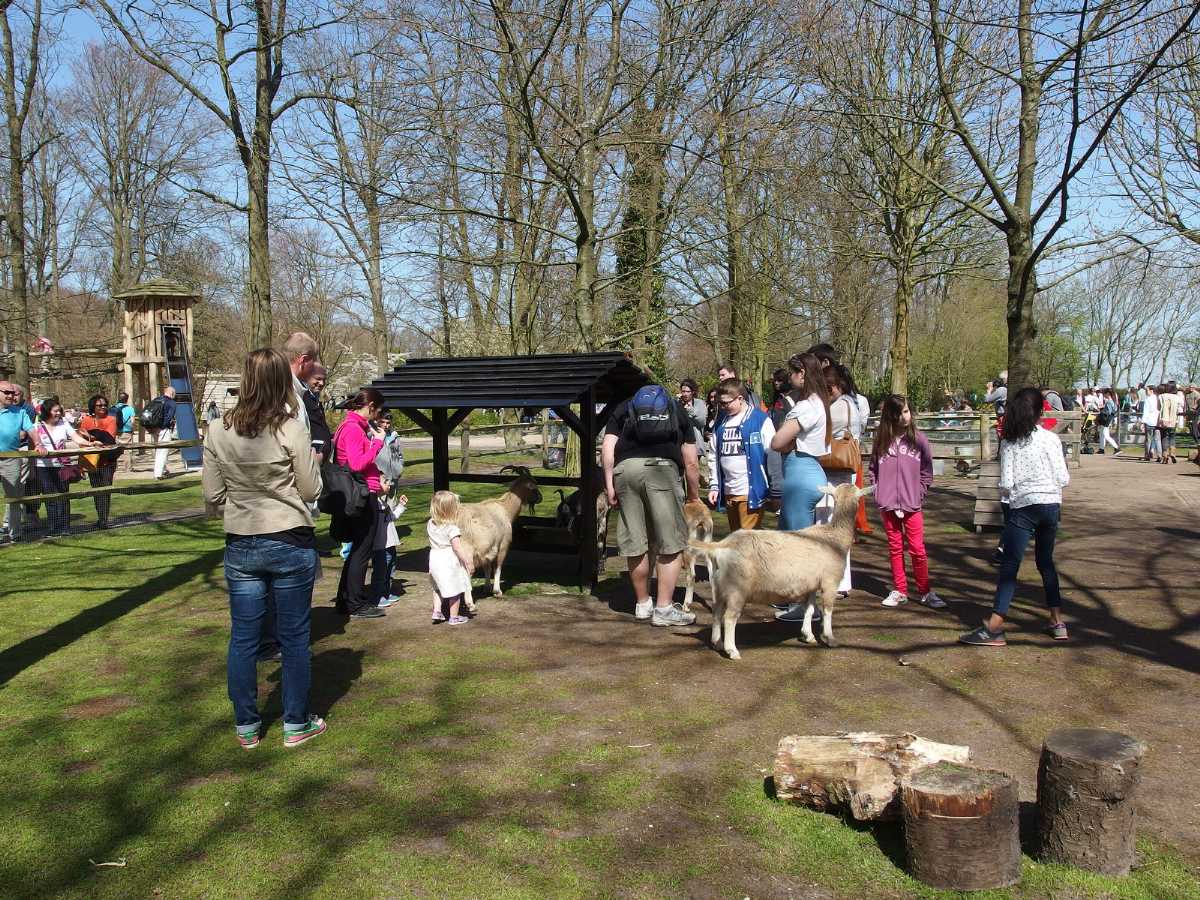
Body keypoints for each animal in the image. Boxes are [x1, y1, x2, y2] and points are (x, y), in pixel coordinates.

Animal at [686, 487, 873, 662]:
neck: (834, 536)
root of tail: (723, 545)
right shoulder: (830, 581)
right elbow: (828, 610)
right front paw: (830, 639)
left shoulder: (812, 584)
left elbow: (810, 609)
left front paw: (808, 635)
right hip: (737, 588)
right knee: (729, 617)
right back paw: (732, 650)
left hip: (719, 586)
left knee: (717, 612)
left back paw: (717, 642)